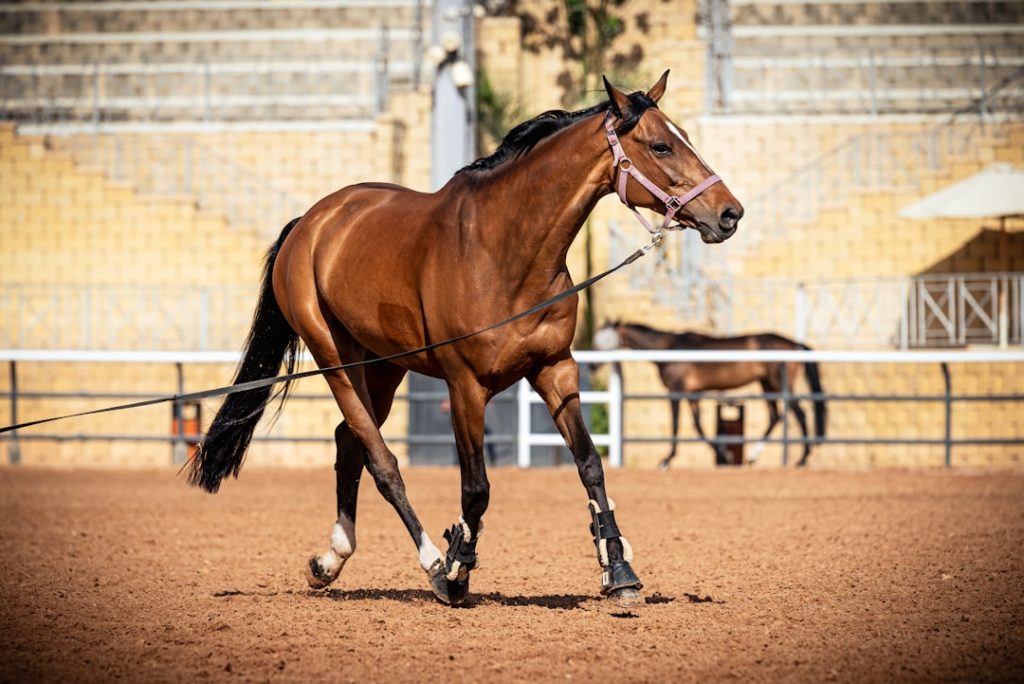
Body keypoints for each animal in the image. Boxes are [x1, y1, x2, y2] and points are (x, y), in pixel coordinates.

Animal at [186, 72, 743, 608]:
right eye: (661, 146)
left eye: (684, 135)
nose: (729, 213)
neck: (504, 251)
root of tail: (311, 222)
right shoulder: (465, 387)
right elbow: (475, 488)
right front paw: (456, 571)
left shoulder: (555, 369)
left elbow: (590, 465)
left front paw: (620, 571)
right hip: (335, 360)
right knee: (380, 459)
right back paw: (430, 560)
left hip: (385, 366)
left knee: (350, 443)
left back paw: (331, 561)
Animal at [594, 321, 826, 469]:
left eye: (600, 341)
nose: (591, 366)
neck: (668, 349)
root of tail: (794, 344)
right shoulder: (694, 395)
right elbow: (698, 426)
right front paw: (725, 455)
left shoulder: (676, 392)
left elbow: (677, 426)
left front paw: (667, 460)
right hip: (767, 384)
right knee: (775, 416)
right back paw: (753, 456)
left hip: (779, 384)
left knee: (800, 414)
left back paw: (802, 459)